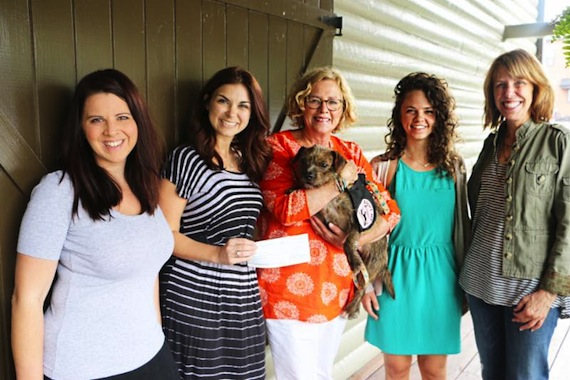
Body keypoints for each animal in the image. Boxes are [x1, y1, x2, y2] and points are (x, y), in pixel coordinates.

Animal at [290, 145, 392, 318]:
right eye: (303, 161)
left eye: (324, 165)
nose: (308, 175)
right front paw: (294, 187)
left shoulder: (356, 219)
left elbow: (348, 242)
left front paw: (354, 261)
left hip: (371, 263)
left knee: (362, 288)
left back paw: (352, 308)